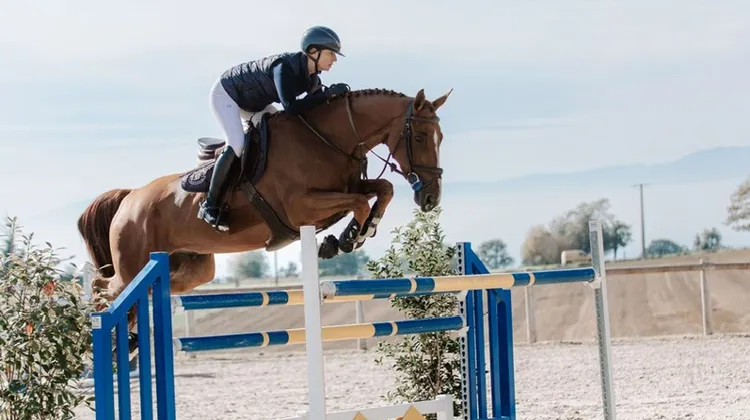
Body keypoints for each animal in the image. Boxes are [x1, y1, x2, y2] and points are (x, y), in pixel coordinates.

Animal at [77, 87, 452, 333]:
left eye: (441, 137)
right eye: (420, 137)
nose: (431, 198)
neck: (328, 138)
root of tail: (130, 198)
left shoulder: (345, 188)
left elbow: (382, 189)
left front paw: (354, 234)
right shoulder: (302, 207)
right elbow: (360, 202)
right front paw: (344, 240)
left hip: (189, 268)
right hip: (133, 265)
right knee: (103, 286)